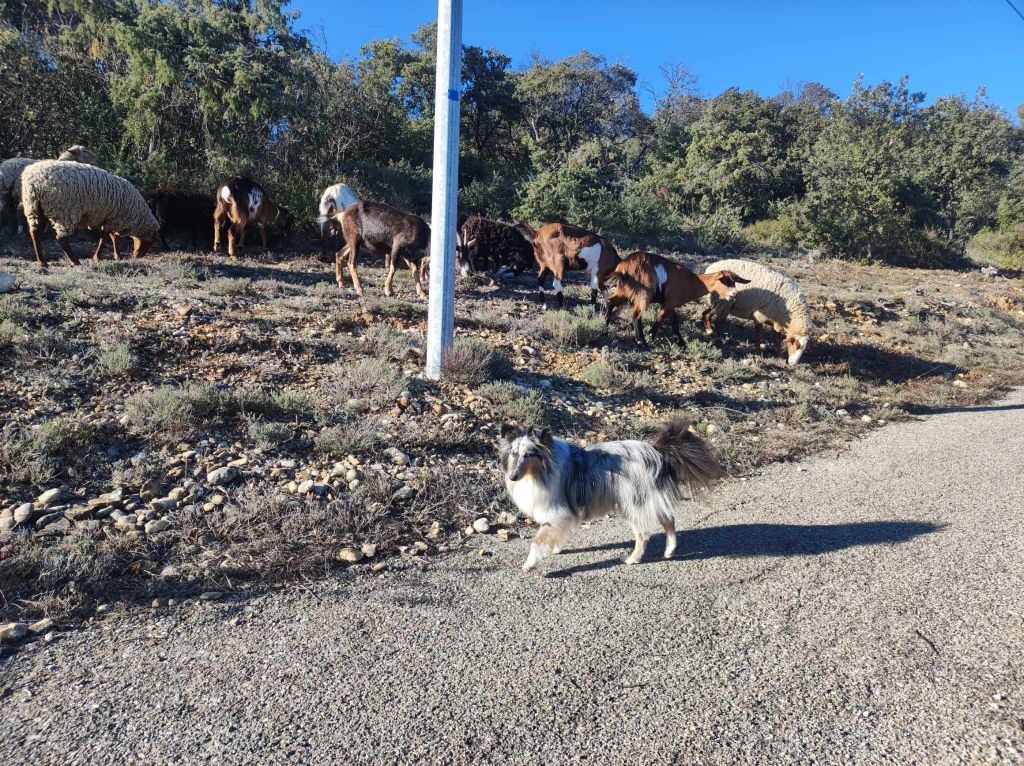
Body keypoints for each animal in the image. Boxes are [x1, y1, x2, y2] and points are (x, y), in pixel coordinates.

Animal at [20, 159, 157, 266]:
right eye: (150, 242)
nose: (137, 256)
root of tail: (34, 181)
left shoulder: (110, 218)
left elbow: (113, 237)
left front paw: (118, 256)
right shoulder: (113, 219)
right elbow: (105, 238)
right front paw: (97, 257)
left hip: (35, 209)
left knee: (35, 234)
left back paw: (42, 262)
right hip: (63, 212)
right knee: (61, 238)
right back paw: (75, 262)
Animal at [497, 419, 724, 573]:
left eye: (529, 454)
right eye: (514, 454)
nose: (513, 476)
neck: (541, 469)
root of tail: (656, 452)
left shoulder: (558, 510)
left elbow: (537, 541)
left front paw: (529, 564)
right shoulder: (560, 513)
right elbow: (556, 534)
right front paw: (555, 549)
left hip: (631, 503)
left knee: (644, 535)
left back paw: (632, 559)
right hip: (648, 499)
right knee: (669, 520)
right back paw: (669, 551)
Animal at [598, 250, 753, 346]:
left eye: (734, 281)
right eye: (725, 281)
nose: (733, 295)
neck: (692, 280)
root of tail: (623, 267)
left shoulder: (671, 303)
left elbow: (675, 323)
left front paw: (681, 342)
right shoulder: (668, 303)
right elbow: (659, 318)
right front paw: (651, 336)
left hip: (624, 291)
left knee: (611, 302)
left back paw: (604, 329)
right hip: (643, 294)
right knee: (636, 315)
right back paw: (641, 342)